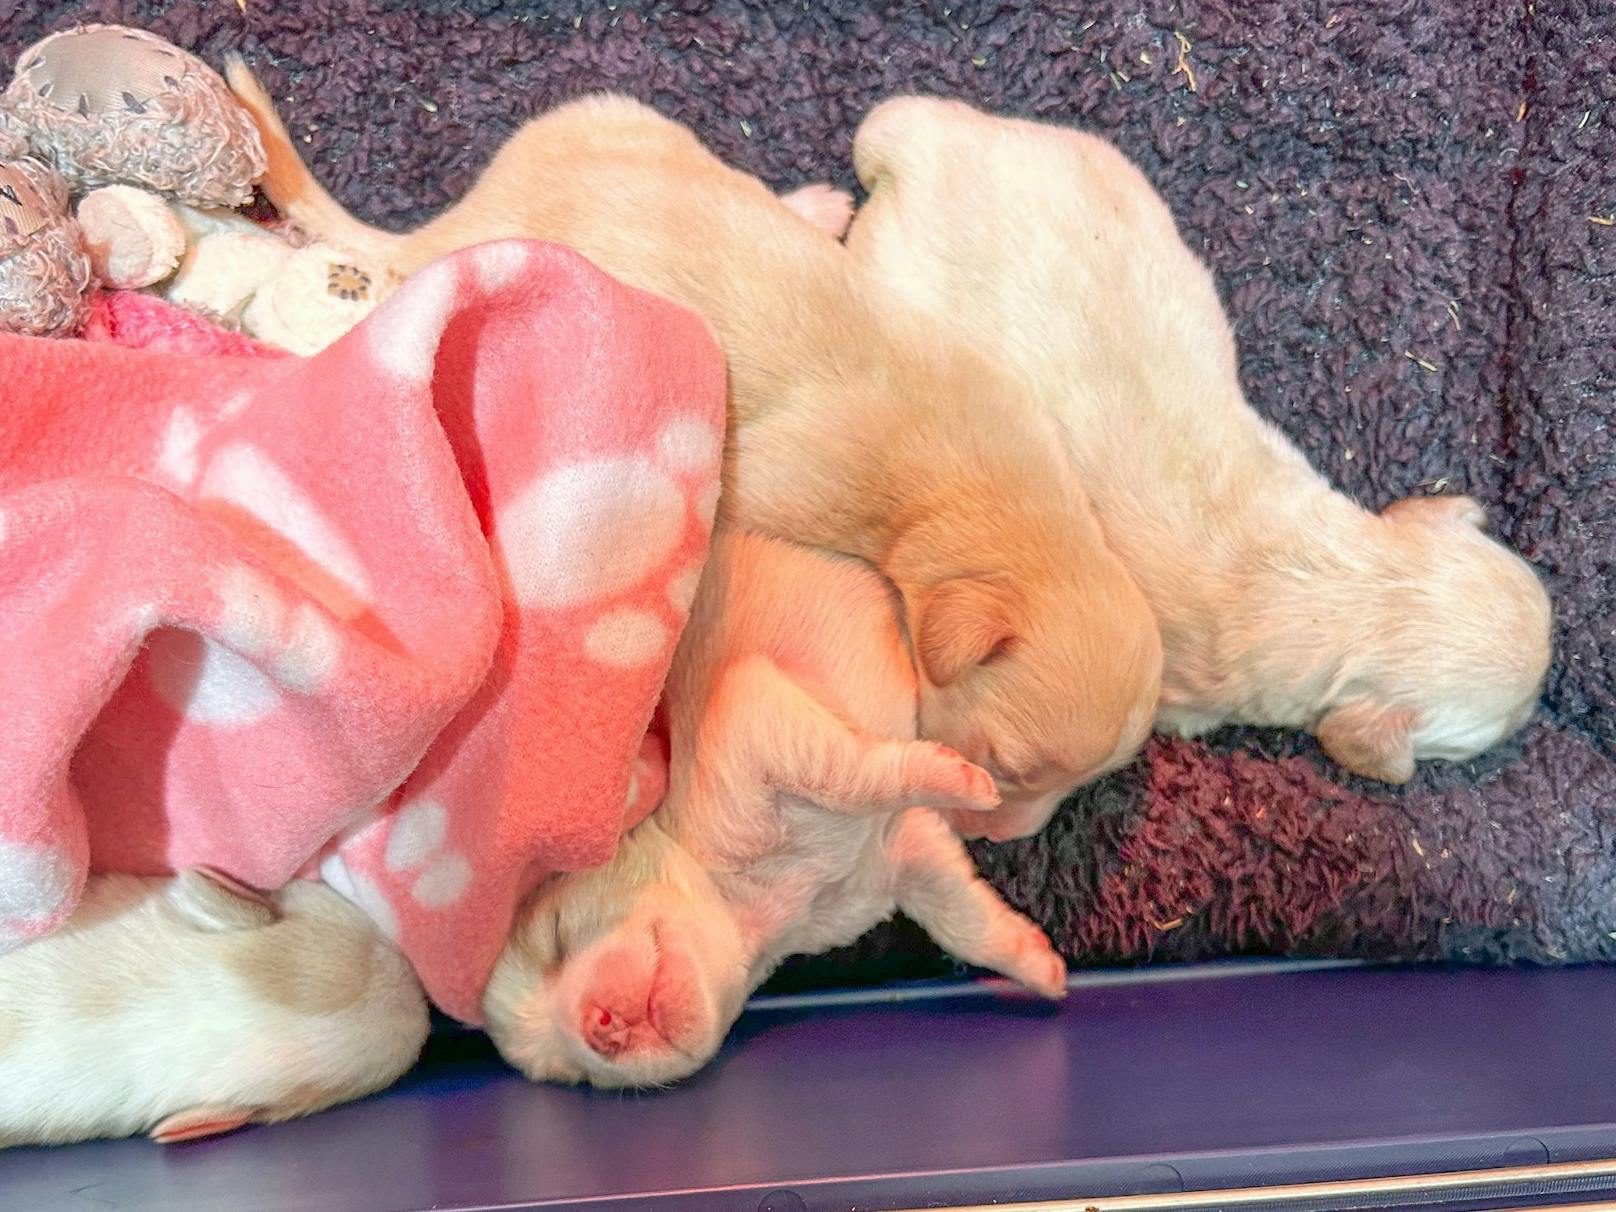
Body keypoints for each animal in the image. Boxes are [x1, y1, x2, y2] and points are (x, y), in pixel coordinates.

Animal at [227, 66, 1163, 840]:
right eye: (1006, 767)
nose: (1000, 845)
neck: (984, 485)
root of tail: (453, 223)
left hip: (618, 118)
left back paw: (813, 208)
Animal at [478, 533, 1066, 1092]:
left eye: (556, 935)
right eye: (571, 1075)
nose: (599, 1028)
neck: (757, 909)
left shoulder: (747, 717)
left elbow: (846, 773)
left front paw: (958, 778)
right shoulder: (896, 859)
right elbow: (959, 917)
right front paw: (1040, 963)